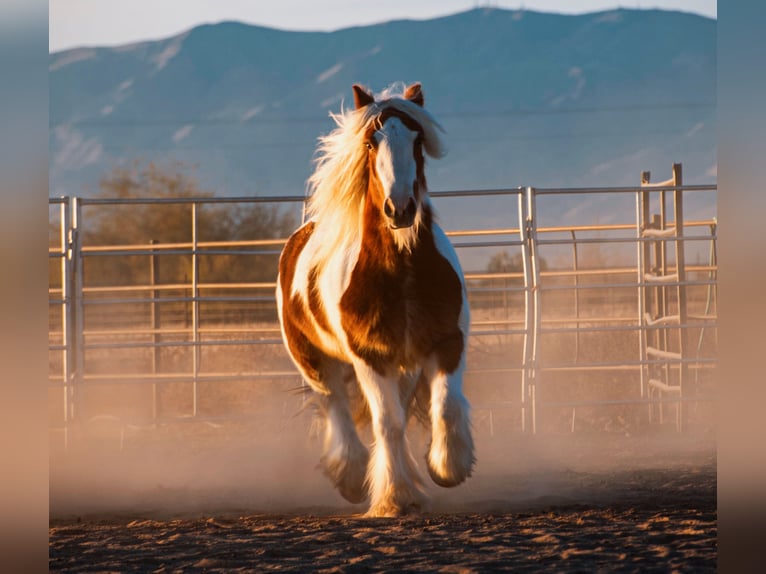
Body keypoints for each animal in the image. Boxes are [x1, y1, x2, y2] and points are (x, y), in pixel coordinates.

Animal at [276, 82, 474, 516]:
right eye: (371, 142)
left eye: (417, 140)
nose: (399, 209)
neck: (401, 271)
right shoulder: (370, 356)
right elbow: (388, 423)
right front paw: (396, 497)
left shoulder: (447, 341)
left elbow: (445, 406)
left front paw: (448, 467)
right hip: (313, 360)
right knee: (335, 405)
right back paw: (351, 476)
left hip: (405, 366)